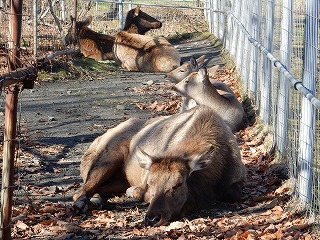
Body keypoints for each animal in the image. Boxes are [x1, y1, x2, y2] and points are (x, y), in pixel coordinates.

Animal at [73, 105, 248, 227]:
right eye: (150, 183)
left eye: (178, 184)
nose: (152, 218)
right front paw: (135, 192)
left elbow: (232, 193)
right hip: (109, 156)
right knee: (81, 189)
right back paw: (81, 204)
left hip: (119, 179)